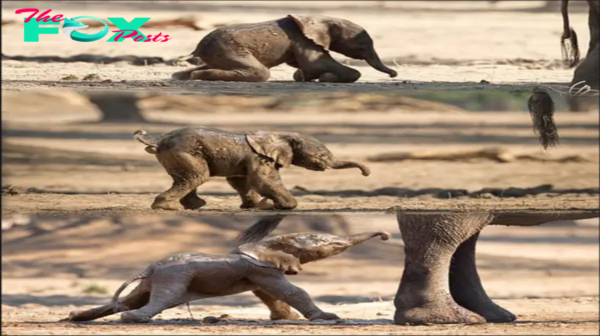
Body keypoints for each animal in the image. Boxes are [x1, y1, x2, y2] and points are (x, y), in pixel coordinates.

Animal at [63, 231, 392, 322]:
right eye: (331, 246)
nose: (387, 236)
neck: (271, 241)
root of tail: (151, 268)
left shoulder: (260, 273)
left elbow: (268, 293)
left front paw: (285, 319)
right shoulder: (263, 270)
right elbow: (292, 291)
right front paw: (329, 319)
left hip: (152, 281)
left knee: (132, 300)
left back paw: (76, 318)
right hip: (174, 278)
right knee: (160, 299)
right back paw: (134, 320)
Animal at [134, 127, 370, 211]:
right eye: (320, 156)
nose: (366, 174)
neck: (281, 135)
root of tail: (157, 139)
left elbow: (239, 180)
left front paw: (255, 206)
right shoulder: (260, 158)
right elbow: (263, 180)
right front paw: (284, 206)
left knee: (189, 178)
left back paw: (195, 206)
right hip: (184, 153)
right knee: (197, 176)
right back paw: (170, 208)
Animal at [171, 14, 398, 82]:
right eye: (362, 46)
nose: (393, 74)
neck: (324, 18)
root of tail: (198, 48)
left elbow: (302, 65)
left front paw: (305, 77)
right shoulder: (304, 40)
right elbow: (316, 63)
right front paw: (323, 77)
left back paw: (184, 76)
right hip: (228, 48)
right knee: (261, 72)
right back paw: (199, 77)